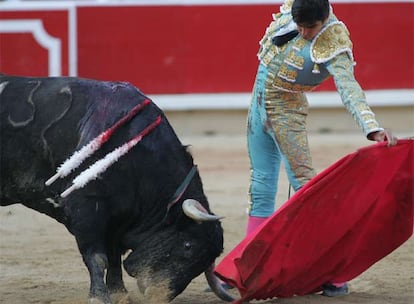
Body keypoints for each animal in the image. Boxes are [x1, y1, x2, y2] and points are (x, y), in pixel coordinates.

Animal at [0, 75, 234, 302]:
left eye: (202, 264)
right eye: (187, 246)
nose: (158, 296)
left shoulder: (117, 218)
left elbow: (113, 257)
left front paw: (119, 293)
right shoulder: (87, 210)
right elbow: (97, 257)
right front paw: (99, 297)